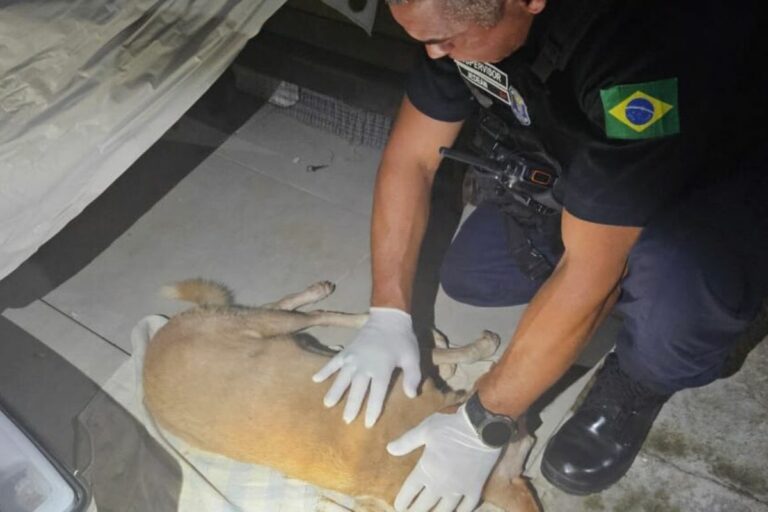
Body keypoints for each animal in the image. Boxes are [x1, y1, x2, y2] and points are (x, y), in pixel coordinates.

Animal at [144, 280, 540, 512]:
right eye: (520, 439)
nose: (533, 427)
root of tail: (155, 343)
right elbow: (445, 358)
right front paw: (475, 351)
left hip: (270, 327)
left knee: (285, 306)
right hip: (271, 327)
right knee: (322, 316)